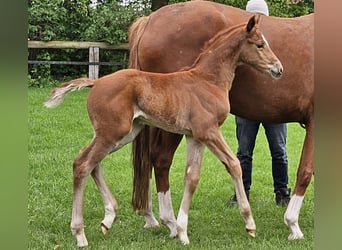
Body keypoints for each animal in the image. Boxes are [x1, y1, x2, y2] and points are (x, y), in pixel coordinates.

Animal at [44, 15, 282, 246]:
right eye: (260, 44)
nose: (278, 68)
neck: (208, 80)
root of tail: (96, 82)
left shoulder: (195, 136)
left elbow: (192, 177)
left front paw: (182, 231)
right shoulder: (209, 131)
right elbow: (234, 164)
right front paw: (250, 224)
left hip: (124, 133)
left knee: (91, 163)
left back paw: (108, 217)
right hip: (112, 133)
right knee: (83, 164)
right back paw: (80, 234)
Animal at [129, 0, 312, 241]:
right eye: (260, 45)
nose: (278, 68)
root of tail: (149, 20)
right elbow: (304, 172)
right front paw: (293, 225)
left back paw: (154, 218)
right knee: (161, 158)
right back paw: (171, 222)